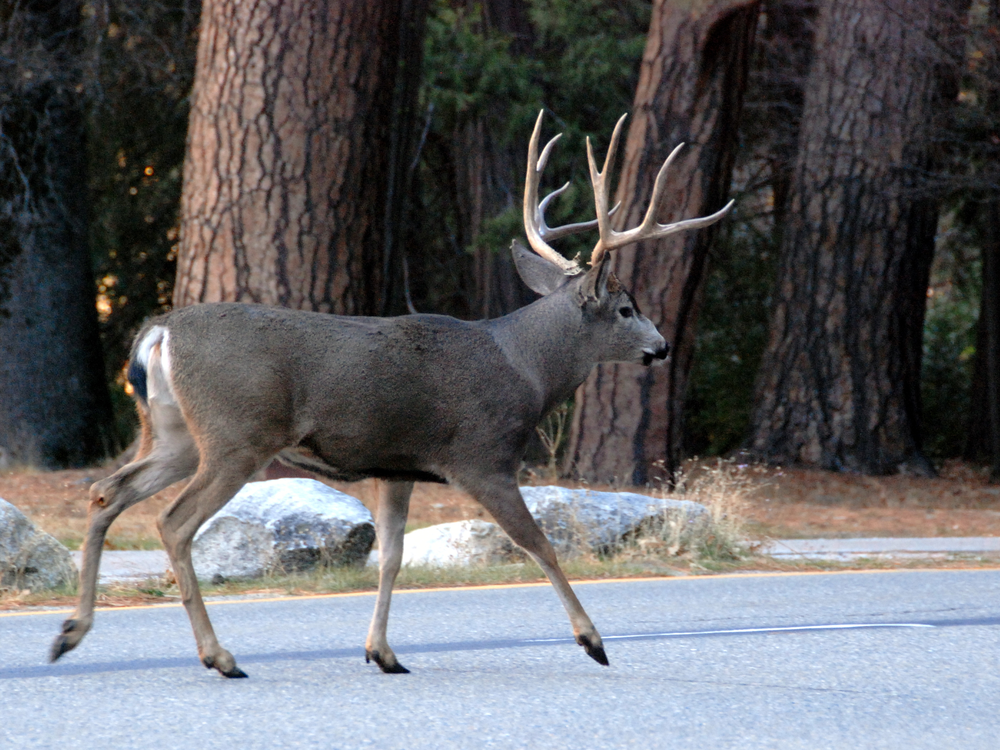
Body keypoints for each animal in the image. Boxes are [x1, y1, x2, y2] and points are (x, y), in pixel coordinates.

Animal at [48, 113, 736, 680]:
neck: (527, 368)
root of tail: (158, 332)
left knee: (107, 490)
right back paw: (219, 657)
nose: (663, 346)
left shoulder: (396, 464)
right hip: (235, 435)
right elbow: (538, 544)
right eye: (626, 309)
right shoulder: (482, 456)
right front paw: (593, 641)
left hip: (175, 432)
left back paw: (71, 632)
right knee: (172, 522)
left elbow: (392, 555)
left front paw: (382, 652)